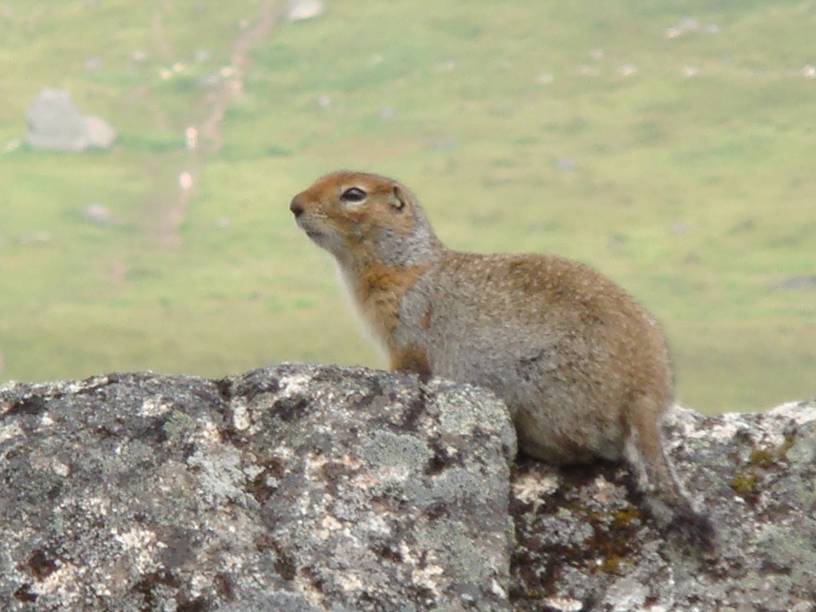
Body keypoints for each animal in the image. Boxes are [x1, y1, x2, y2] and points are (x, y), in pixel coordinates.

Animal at [292, 170, 712, 536]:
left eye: (354, 194)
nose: (294, 205)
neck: (402, 264)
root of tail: (647, 393)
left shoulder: (406, 329)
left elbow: (407, 365)